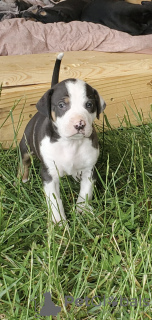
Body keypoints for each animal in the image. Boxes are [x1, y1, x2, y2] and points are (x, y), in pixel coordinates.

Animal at [18, 53, 105, 224]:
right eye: (61, 105)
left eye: (89, 104)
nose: (79, 124)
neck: (71, 143)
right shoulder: (49, 174)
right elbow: (54, 200)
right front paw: (58, 222)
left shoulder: (89, 170)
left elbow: (85, 191)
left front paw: (82, 211)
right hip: (25, 146)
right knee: (24, 162)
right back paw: (22, 179)